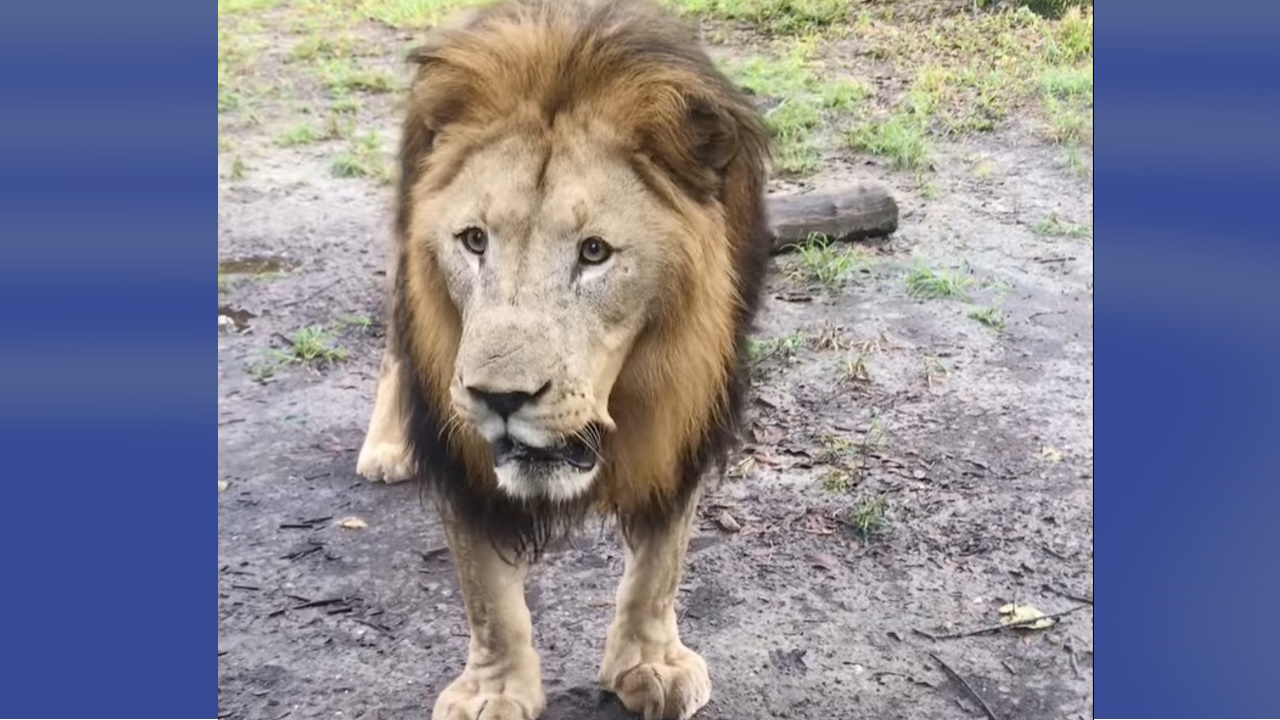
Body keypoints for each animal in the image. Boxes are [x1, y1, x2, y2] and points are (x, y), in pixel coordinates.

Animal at [355, 0, 772, 717]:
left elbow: (661, 563)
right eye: (473, 241)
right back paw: (385, 446)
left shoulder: (690, 407)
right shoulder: (459, 445)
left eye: (594, 252)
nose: (500, 398)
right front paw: (492, 692)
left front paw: (651, 663)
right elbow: (486, 591)